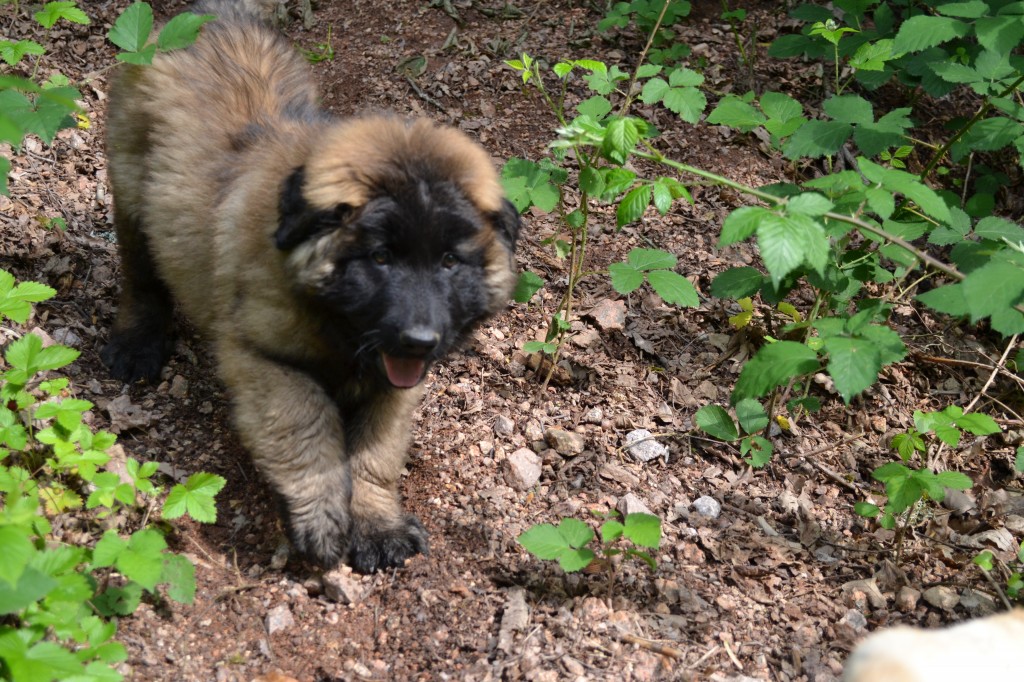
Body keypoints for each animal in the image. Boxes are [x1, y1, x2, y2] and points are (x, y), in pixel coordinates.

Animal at [101, 0, 520, 569]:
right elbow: (309, 430)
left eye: (451, 262)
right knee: (141, 277)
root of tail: (215, 16)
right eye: (380, 257)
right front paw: (322, 517)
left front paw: (377, 524)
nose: (420, 340)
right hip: (130, 189)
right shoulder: (266, 358)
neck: (338, 327)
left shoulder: (396, 381)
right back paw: (136, 344)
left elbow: (376, 452)